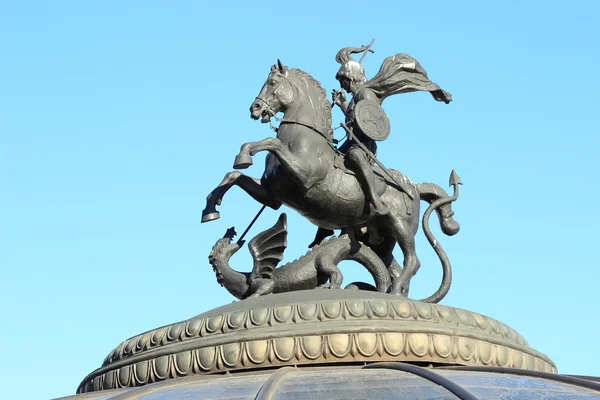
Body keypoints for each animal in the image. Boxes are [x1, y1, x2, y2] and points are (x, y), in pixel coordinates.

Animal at [202, 61, 460, 298]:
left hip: (400, 225)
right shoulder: (272, 196)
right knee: (392, 265)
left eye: (273, 82)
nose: (254, 109)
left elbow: (270, 142)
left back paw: (394, 290)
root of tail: (414, 187)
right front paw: (211, 208)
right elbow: (234, 176)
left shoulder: (303, 176)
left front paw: (245, 156)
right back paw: (394, 293)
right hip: (381, 238)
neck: (304, 139)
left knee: (413, 261)